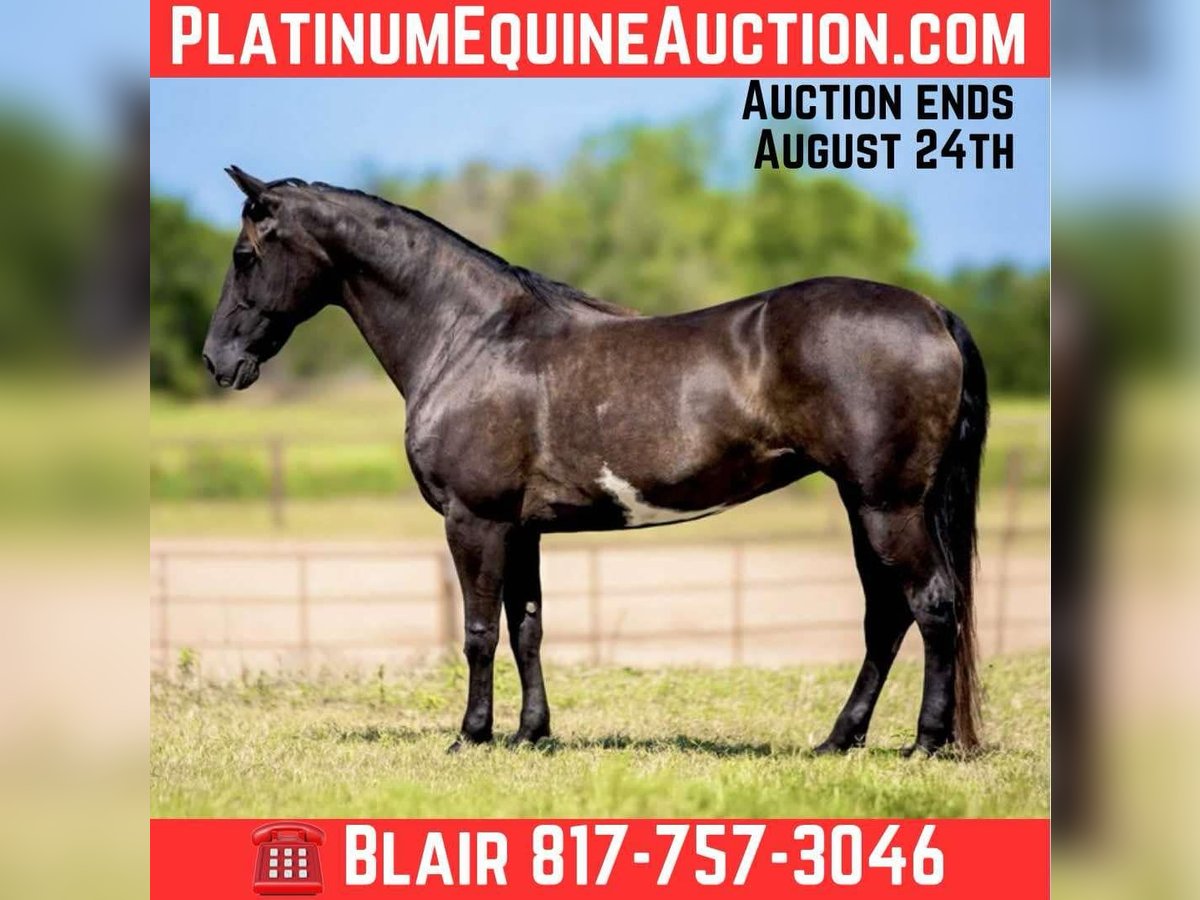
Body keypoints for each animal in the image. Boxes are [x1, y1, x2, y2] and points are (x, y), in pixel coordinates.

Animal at [202, 166, 988, 756]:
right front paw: (530, 735)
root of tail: (931, 310)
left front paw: (471, 736)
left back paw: (925, 743)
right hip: (866, 505)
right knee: (887, 615)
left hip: (886, 505)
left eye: (245, 256)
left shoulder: (474, 520)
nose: (217, 360)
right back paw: (838, 741)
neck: (471, 337)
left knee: (930, 603)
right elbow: (526, 628)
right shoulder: (520, 529)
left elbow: (478, 633)